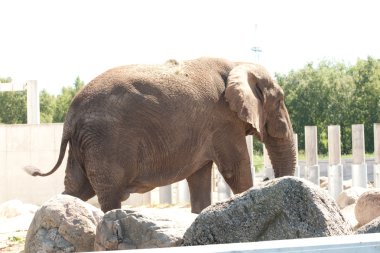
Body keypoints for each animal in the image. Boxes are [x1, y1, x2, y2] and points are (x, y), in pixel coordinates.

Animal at [26, 57, 296, 213]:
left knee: (76, 190)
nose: (268, 179)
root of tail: (70, 116)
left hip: (83, 144)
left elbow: (199, 178)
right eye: (280, 100)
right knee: (108, 195)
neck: (237, 64)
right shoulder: (223, 122)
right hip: (104, 143)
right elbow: (235, 170)